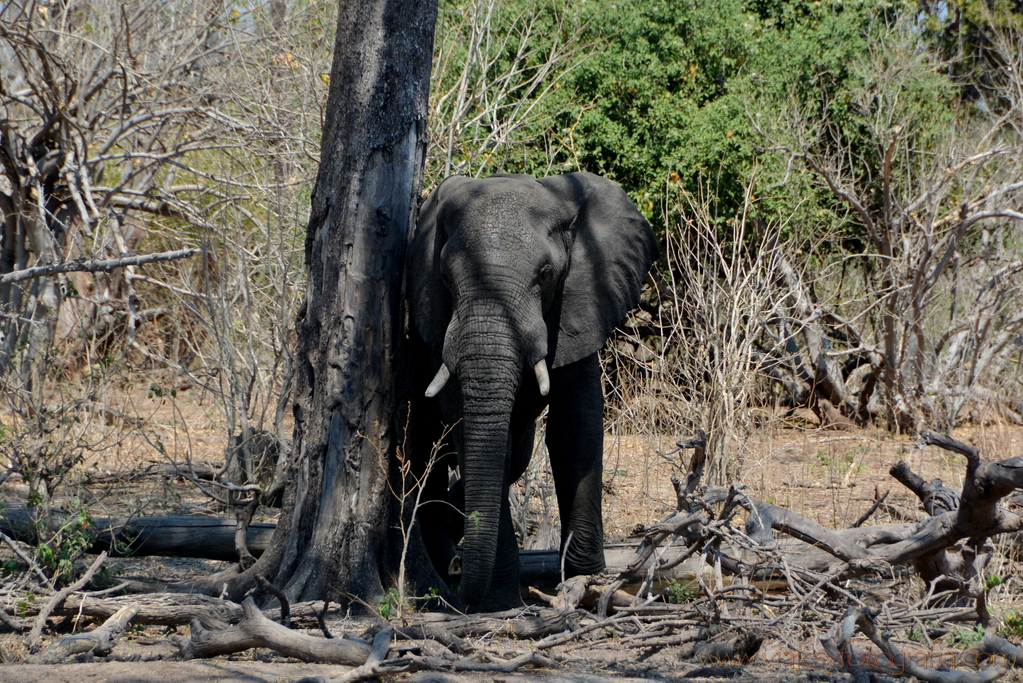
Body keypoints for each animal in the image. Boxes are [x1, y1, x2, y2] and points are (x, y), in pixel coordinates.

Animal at [405, 173, 654, 609]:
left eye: (545, 274)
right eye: (445, 280)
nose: (467, 595)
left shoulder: (579, 306)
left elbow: (575, 428)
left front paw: (587, 582)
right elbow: (474, 432)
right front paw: (501, 601)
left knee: (515, 459)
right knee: (428, 461)